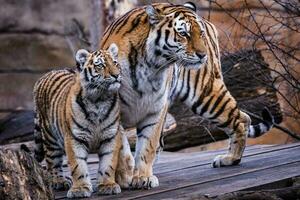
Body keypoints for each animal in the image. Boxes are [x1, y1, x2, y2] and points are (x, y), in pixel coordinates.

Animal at [99, 1, 274, 189]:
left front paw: (143, 177)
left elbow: (148, 145)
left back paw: (230, 159)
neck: (148, 66)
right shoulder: (113, 110)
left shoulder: (156, 109)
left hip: (206, 95)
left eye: (200, 33)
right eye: (183, 34)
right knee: (244, 117)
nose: (203, 55)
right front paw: (126, 175)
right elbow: (121, 147)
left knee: (239, 121)